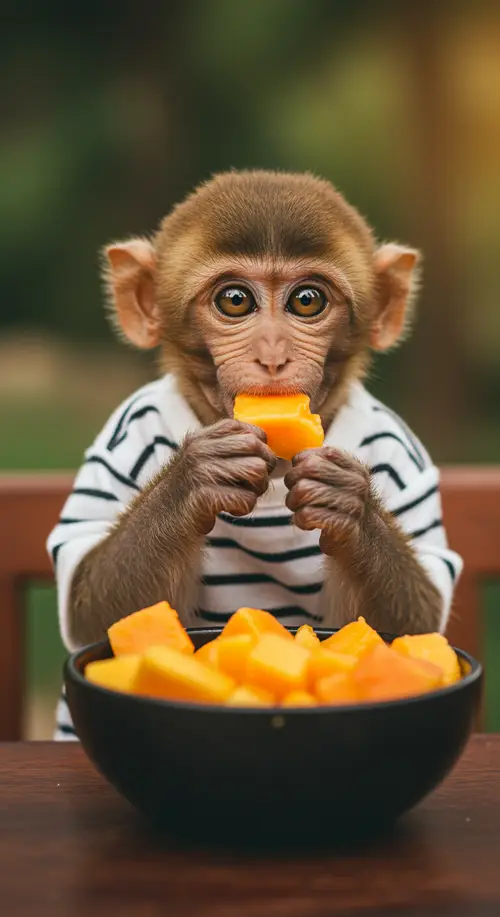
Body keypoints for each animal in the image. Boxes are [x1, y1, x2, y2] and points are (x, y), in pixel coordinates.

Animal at [47, 170, 462, 737]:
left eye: (307, 300)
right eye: (236, 301)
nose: (272, 354)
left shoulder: (405, 456)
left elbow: (413, 630)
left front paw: (348, 505)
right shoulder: (123, 437)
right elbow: (95, 610)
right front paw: (195, 480)